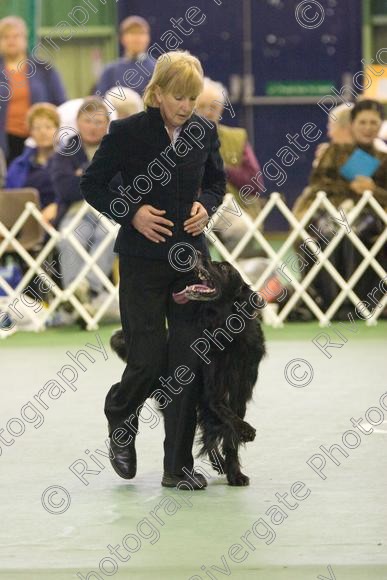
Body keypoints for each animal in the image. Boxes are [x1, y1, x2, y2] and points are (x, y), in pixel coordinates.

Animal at [110, 254, 266, 484]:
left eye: (223, 268)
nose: (198, 254)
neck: (224, 329)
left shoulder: (240, 391)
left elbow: (229, 432)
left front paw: (235, 473)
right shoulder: (212, 392)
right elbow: (225, 416)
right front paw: (246, 432)